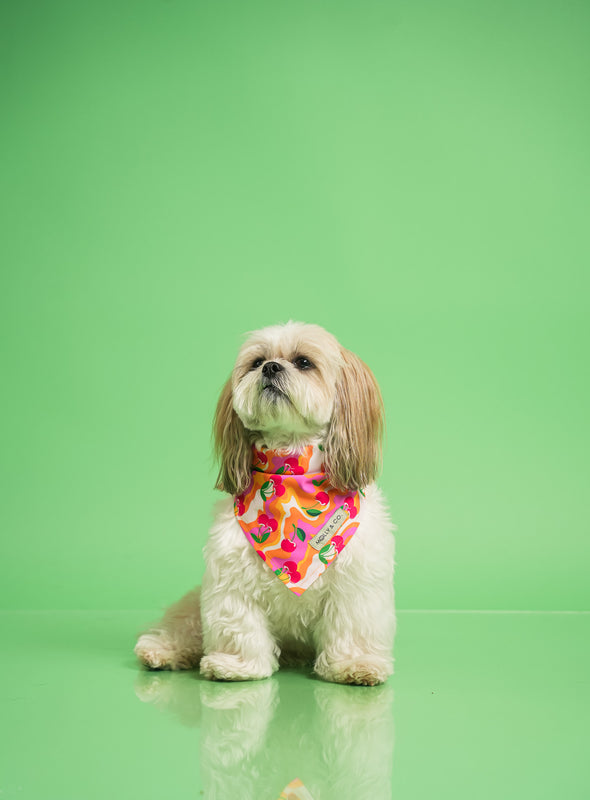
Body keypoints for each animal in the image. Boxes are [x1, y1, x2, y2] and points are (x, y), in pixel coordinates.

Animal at [136, 322, 398, 684]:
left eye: (303, 362)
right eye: (257, 361)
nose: (271, 367)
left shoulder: (355, 586)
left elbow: (351, 627)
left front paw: (354, 664)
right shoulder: (231, 579)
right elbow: (239, 625)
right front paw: (236, 665)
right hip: (193, 606)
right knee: (184, 625)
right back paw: (162, 650)